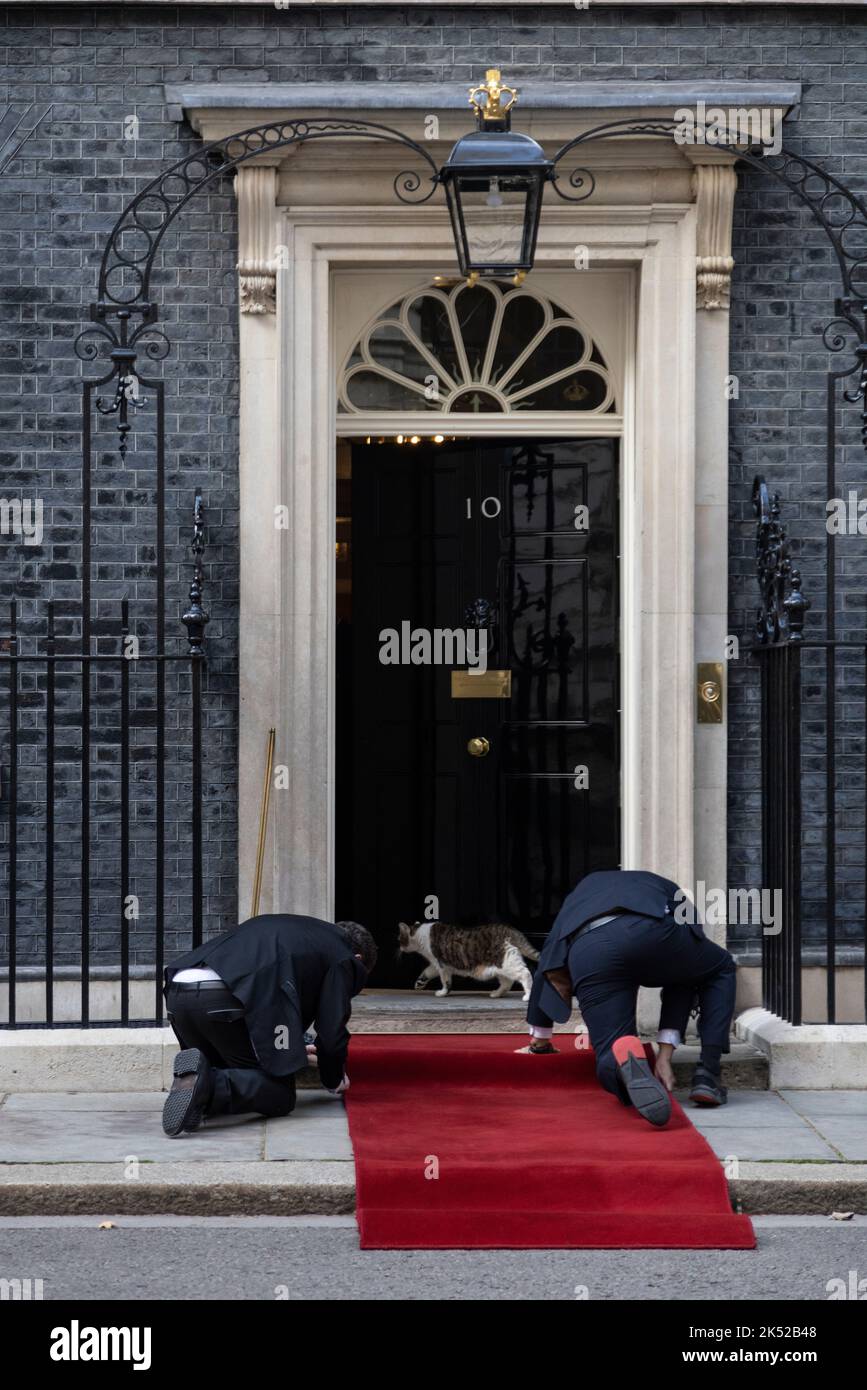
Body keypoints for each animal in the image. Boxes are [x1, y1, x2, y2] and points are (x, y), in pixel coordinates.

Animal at [397, 922, 539, 1000]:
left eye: (399, 939)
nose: (399, 947)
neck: (421, 935)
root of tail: (509, 929)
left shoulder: (442, 965)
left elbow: (446, 982)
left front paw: (443, 993)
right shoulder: (436, 964)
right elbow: (427, 972)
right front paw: (419, 983)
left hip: (507, 962)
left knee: (525, 974)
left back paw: (528, 996)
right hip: (500, 967)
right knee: (507, 983)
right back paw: (496, 994)